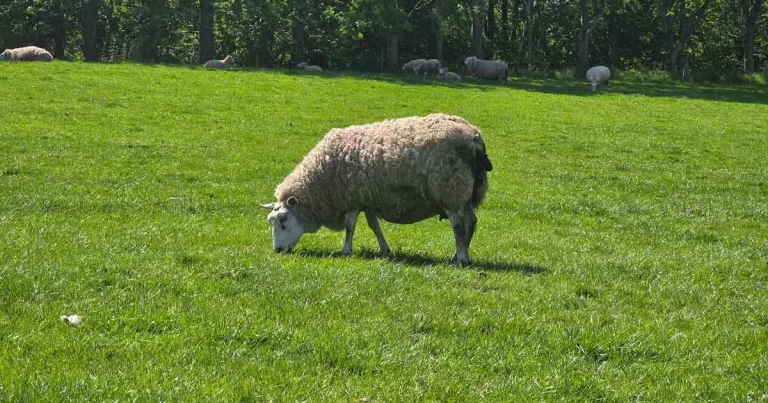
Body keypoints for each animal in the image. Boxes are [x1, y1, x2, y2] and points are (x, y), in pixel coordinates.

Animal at [260, 113, 493, 266]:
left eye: (283, 220)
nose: (278, 250)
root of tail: (474, 137)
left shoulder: (352, 199)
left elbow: (350, 227)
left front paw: (346, 251)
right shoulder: (368, 198)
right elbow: (375, 226)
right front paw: (385, 250)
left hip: (452, 190)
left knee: (458, 225)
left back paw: (461, 258)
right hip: (467, 193)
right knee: (471, 222)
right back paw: (460, 254)